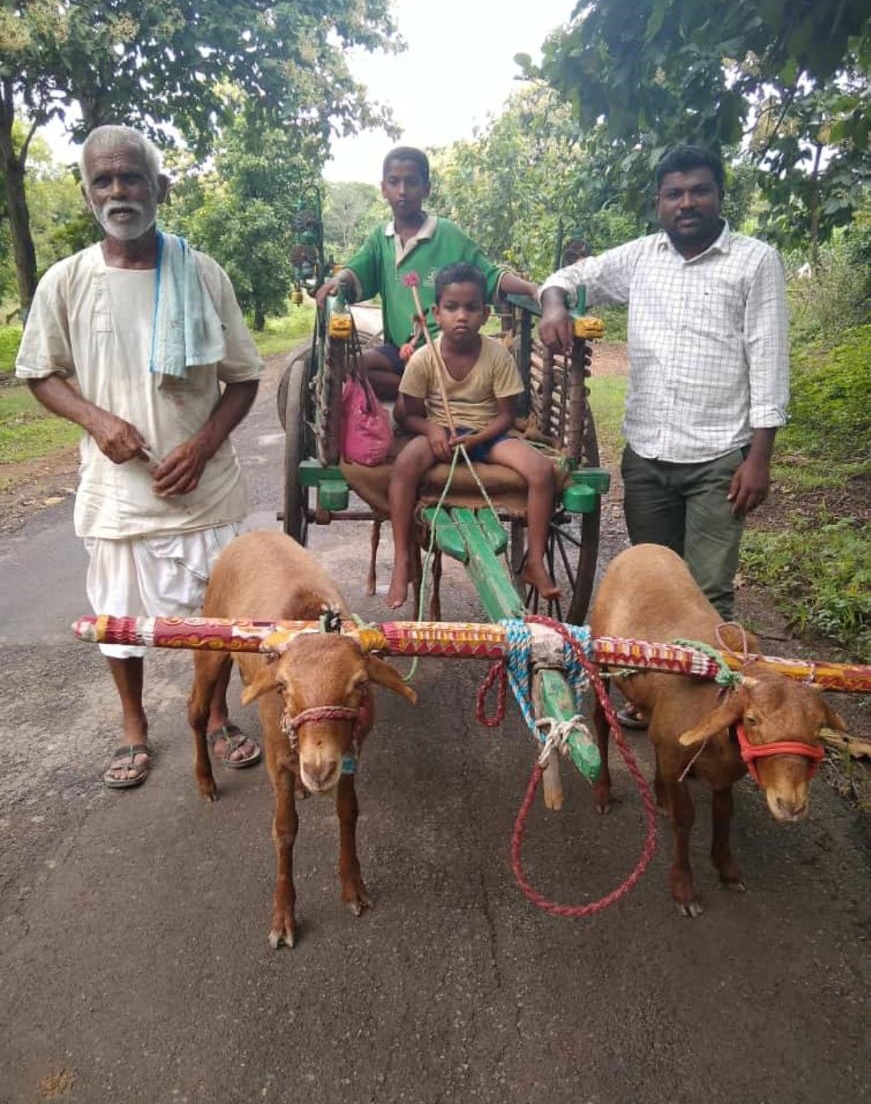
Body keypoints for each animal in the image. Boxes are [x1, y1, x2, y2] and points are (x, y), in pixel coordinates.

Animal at [186, 529, 415, 945]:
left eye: (359, 685)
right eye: (283, 687)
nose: (318, 769)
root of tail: (249, 533)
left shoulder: (350, 753)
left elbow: (348, 812)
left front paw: (353, 887)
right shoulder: (277, 758)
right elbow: (284, 830)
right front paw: (283, 916)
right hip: (209, 648)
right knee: (196, 710)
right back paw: (206, 782)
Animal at [582, 540, 843, 914]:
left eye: (819, 727)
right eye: (752, 719)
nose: (791, 805)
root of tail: (643, 546)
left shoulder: (720, 769)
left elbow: (723, 814)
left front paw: (727, 869)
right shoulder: (678, 755)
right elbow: (685, 818)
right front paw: (684, 888)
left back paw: (659, 794)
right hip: (601, 662)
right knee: (602, 723)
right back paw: (604, 791)